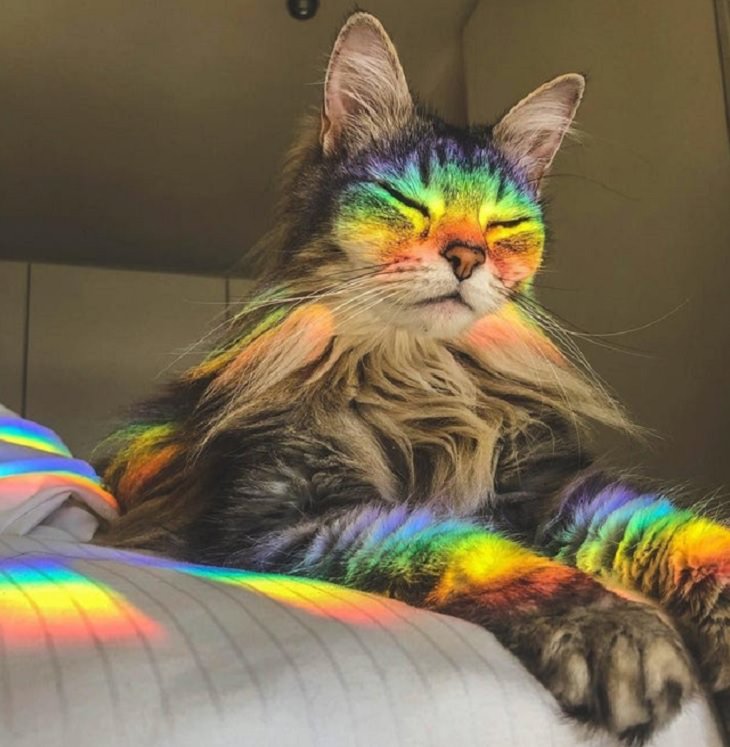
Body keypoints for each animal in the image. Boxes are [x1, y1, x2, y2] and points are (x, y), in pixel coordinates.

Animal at [95, 13, 728, 747]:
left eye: (504, 224)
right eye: (407, 201)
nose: (467, 257)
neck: (419, 377)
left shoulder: (555, 480)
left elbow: (681, 532)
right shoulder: (292, 515)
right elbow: (477, 552)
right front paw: (619, 629)